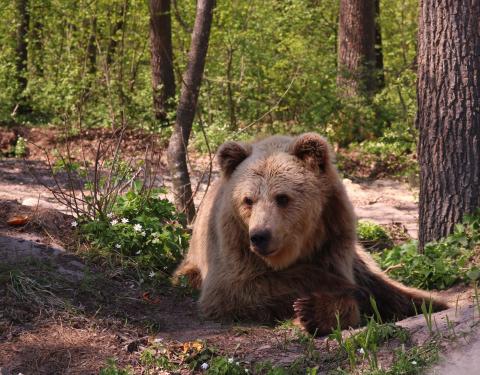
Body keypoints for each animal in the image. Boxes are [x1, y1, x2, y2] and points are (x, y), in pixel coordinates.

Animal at [174, 132, 448, 334]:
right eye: (248, 200)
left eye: (282, 197)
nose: (260, 236)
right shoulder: (233, 245)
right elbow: (235, 288)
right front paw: (330, 295)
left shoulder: (333, 236)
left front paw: (315, 312)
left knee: (387, 284)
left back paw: (433, 302)